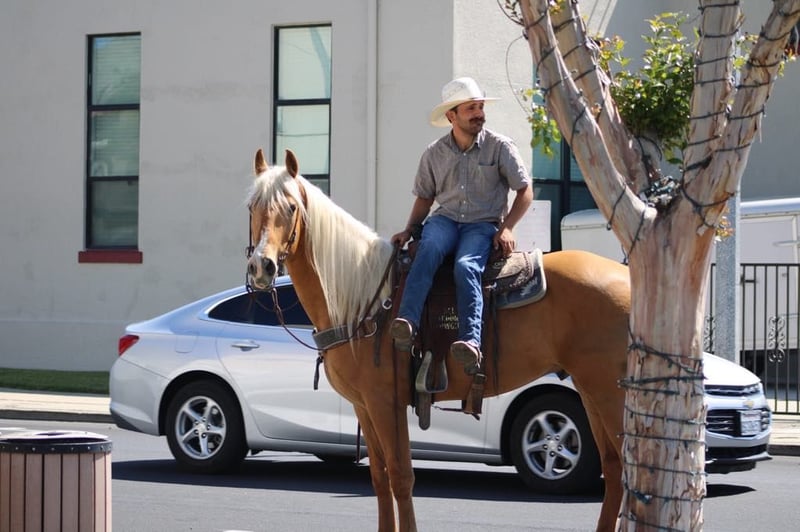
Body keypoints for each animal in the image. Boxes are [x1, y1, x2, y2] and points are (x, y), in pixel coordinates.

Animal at [245, 149, 629, 532]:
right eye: (251, 206)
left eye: (291, 207)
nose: (262, 266)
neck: (363, 300)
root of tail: (627, 276)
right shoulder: (364, 406)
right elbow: (380, 479)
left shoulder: (386, 403)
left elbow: (401, 477)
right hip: (589, 391)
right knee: (614, 468)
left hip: (610, 393)